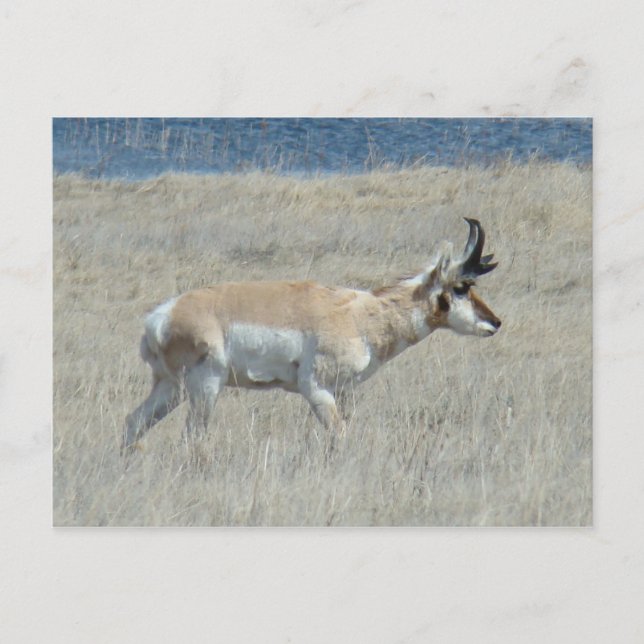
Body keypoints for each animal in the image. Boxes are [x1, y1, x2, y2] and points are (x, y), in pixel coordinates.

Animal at [123, 218, 500, 451]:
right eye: (462, 286)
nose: (495, 322)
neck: (362, 314)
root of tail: (161, 316)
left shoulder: (345, 391)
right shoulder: (316, 389)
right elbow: (339, 434)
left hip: (171, 388)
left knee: (133, 422)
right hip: (205, 387)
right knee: (191, 437)